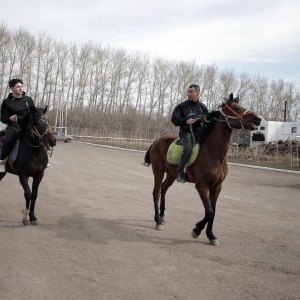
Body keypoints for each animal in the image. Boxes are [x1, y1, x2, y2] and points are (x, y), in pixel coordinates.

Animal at [145, 94, 260, 246]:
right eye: (236, 108)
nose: (257, 119)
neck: (213, 153)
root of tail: (157, 140)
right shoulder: (202, 187)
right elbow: (209, 212)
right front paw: (196, 230)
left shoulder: (216, 188)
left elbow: (213, 212)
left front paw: (211, 235)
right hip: (158, 171)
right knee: (156, 192)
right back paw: (158, 220)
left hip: (171, 175)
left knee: (163, 189)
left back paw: (162, 215)